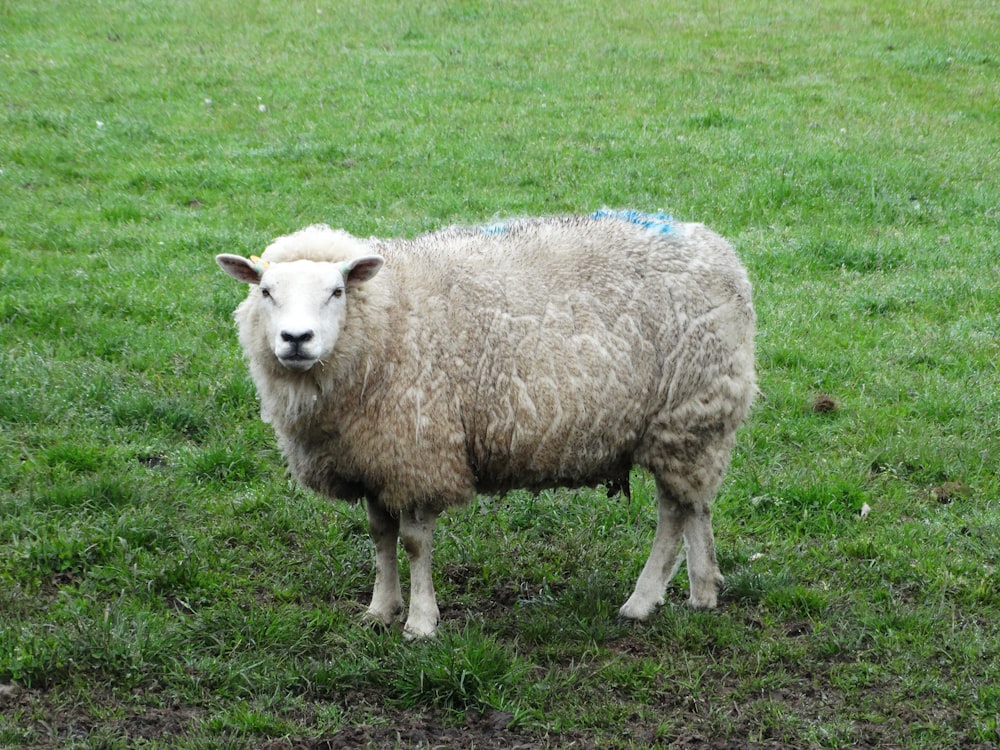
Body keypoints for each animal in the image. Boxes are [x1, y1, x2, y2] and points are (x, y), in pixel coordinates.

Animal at [217, 212, 752, 640]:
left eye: (336, 291)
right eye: (265, 291)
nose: (296, 339)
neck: (389, 315)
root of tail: (715, 247)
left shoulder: (421, 453)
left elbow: (413, 543)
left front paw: (420, 622)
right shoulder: (376, 459)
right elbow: (379, 536)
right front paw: (380, 610)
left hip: (684, 416)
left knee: (673, 513)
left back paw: (642, 601)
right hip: (693, 426)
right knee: (694, 505)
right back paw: (704, 591)